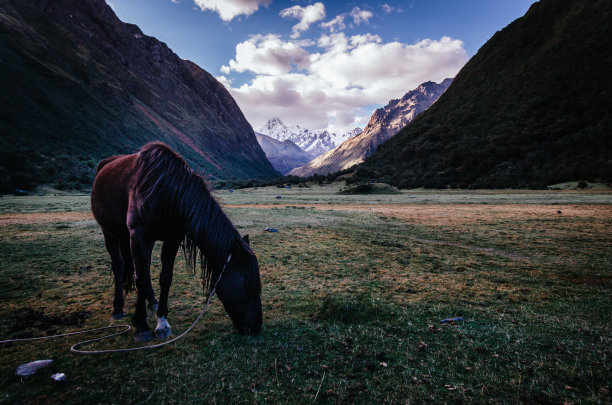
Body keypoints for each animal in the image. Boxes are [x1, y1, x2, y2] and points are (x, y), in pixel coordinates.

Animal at [91, 142, 262, 340]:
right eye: (247, 284)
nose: (257, 326)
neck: (165, 192)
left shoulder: (172, 239)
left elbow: (165, 277)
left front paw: (162, 322)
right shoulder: (138, 236)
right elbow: (141, 278)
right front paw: (141, 326)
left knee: (144, 266)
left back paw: (152, 301)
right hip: (109, 232)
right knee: (119, 265)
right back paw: (117, 308)